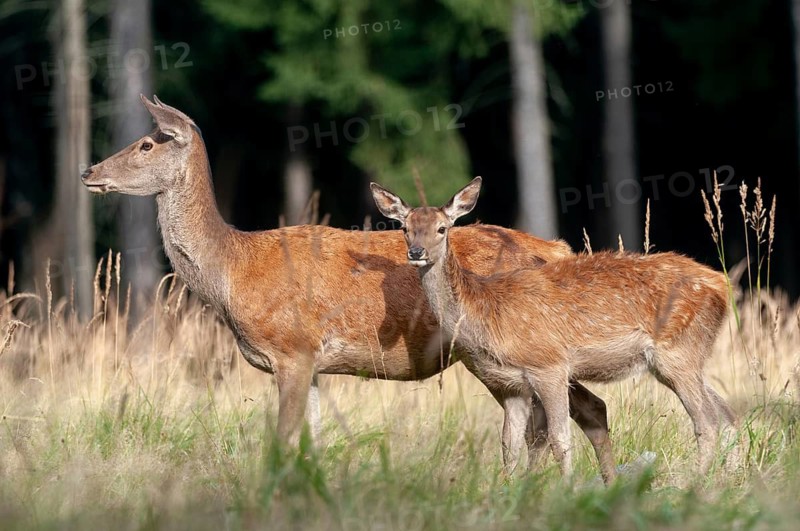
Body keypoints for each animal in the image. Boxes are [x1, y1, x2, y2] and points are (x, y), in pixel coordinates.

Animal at [81, 95, 615, 478]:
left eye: (148, 143)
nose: (89, 171)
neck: (232, 273)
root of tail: (559, 250)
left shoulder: (292, 348)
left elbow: (282, 442)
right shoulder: (312, 363)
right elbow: (312, 443)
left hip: (526, 346)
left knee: (568, 415)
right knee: (579, 412)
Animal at [371, 176, 738, 478]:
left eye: (442, 228)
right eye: (405, 228)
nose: (416, 252)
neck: (484, 310)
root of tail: (722, 285)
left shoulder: (549, 365)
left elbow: (559, 438)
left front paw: (567, 489)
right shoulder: (511, 384)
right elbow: (509, 446)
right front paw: (508, 493)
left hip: (676, 351)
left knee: (707, 421)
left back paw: (694, 483)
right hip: (686, 357)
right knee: (727, 412)